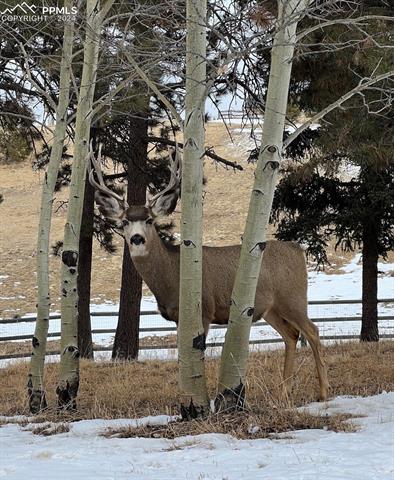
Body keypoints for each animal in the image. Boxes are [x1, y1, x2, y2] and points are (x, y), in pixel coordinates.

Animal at [88, 147, 330, 402]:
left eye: (149, 220)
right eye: (124, 221)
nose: (137, 238)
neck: (172, 275)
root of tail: (298, 249)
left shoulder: (204, 309)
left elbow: (198, 355)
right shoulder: (178, 318)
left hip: (292, 296)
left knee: (312, 331)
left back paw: (323, 391)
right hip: (270, 308)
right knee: (291, 335)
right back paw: (284, 391)